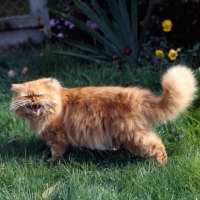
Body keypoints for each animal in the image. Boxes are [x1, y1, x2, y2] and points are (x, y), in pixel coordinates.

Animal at [10, 65, 196, 164]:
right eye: (27, 96)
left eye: (39, 95)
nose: (33, 99)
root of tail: (138, 96)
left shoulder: (57, 137)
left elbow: (57, 152)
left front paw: (51, 161)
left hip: (135, 134)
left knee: (157, 145)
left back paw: (161, 164)